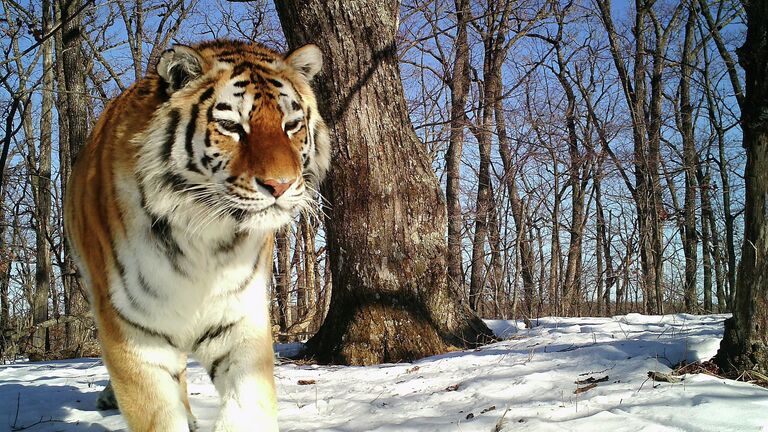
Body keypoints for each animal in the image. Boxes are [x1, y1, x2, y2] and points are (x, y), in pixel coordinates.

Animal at [63, 38, 330, 430]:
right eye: (231, 126)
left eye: (292, 125)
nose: (280, 185)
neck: (205, 237)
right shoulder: (132, 328)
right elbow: (156, 410)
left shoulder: (239, 320)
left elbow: (247, 407)